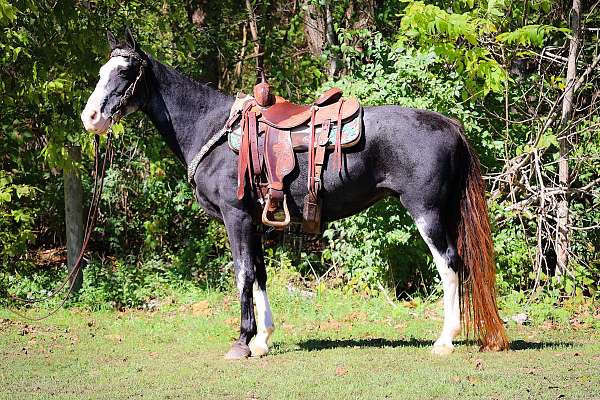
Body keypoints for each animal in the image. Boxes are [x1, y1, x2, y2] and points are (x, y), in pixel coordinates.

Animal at [82, 29, 508, 358]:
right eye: (102, 71)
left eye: (125, 71)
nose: (91, 118)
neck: (212, 128)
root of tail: (448, 124)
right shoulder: (254, 220)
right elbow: (260, 273)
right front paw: (262, 340)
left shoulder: (236, 217)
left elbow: (243, 273)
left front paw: (242, 342)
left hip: (427, 212)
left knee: (449, 265)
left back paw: (445, 340)